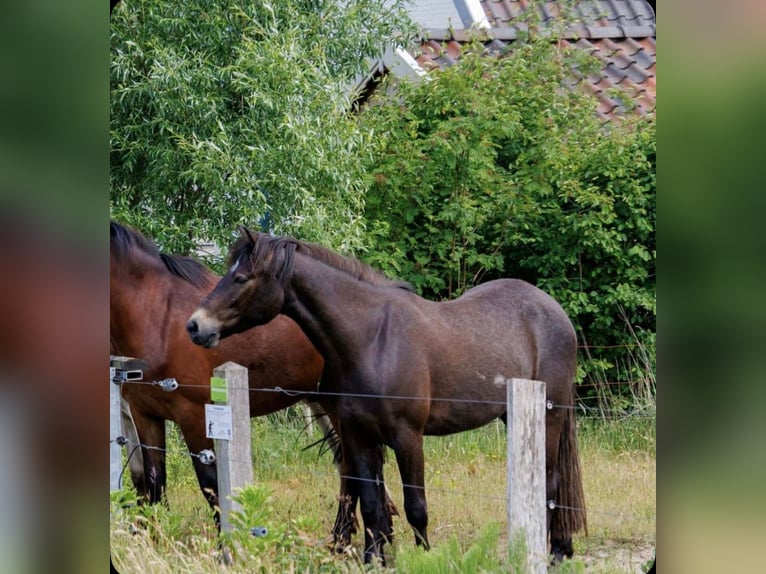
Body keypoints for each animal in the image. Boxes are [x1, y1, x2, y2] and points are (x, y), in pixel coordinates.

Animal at [110, 221, 395, 537]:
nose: (195, 328)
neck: (158, 317)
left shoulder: (194, 417)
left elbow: (211, 487)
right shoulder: (144, 415)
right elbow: (153, 482)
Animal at [187, 227, 587, 564]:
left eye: (241, 278)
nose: (195, 325)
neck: (372, 339)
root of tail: (554, 311)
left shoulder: (407, 437)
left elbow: (416, 507)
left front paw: (423, 558)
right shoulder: (358, 435)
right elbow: (371, 506)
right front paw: (372, 559)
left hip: (550, 417)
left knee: (550, 484)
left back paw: (553, 553)